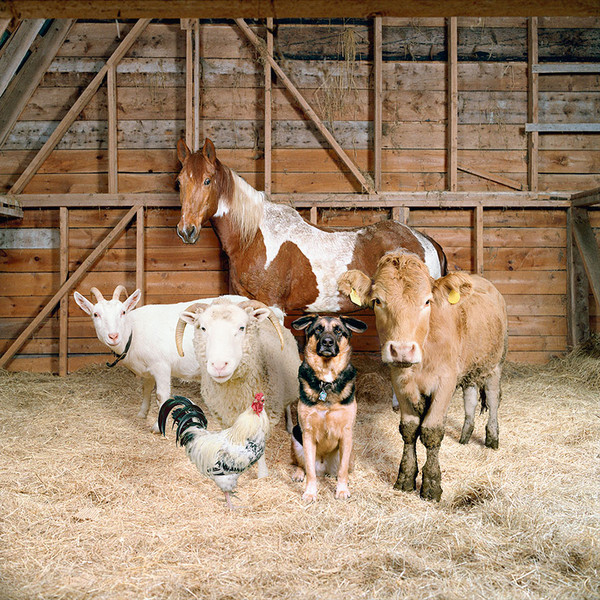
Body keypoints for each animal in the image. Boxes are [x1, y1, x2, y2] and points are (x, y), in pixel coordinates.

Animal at [73, 286, 248, 432]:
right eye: (96, 314)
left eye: (123, 312)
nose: (113, 336)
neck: (133, 331)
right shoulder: (147, 369)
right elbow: (146, 390)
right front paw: (142, 414)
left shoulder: (161, 366)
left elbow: (161, 396)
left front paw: (157, 427)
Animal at [175, 137, 446, 314]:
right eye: (179, 182)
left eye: (207, 180)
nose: (186, 230)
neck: (253, 238)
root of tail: (425, 241)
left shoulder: (273, 307)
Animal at [176, 300, 302, 478]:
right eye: (203, 328)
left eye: (242, 327)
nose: (219, 366)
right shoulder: (223, 416)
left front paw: (262, 475)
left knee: (288, 405)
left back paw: (290, 426)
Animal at [290, 314, 368, 502]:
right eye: (318, 329)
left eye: (338, 330)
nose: (327, 342)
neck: (326, 381)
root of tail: (323, 467)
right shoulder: (307, 433)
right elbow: (310, 472)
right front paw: (310, 492)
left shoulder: (346, 433)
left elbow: (342, 471)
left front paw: (342, 490)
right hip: (296, 438)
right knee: (301, 465)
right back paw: (298, 473)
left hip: (350, 453)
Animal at [338, 250, 506, 502]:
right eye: (378, 301)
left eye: (427, 301)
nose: (402, 350)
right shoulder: (400, 381)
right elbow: (409, 429)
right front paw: (406, 478)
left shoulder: (445, 382)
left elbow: (431, 430)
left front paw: (431, 484)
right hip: (469, 368)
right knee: (470, 396)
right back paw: (465, 435)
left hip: (494, 364)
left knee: (493, 398)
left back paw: (492, 438)